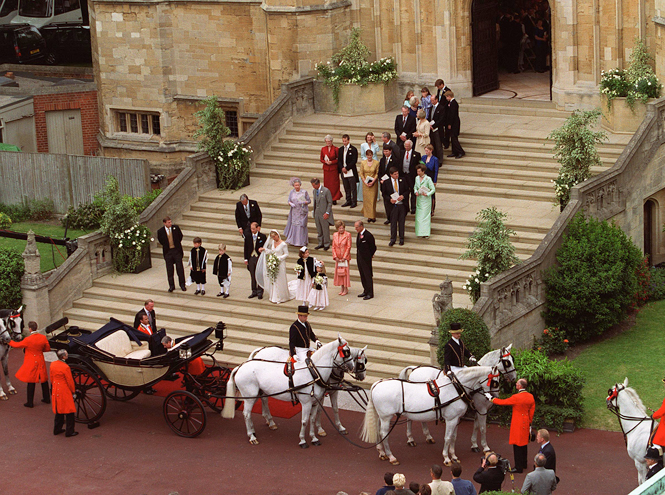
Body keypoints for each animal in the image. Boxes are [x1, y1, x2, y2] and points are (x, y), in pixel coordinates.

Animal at [222, 336, 356, 448]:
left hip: (259, 393)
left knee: (260, 404)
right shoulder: (306, 403)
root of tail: (241, 366)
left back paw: (264, 425)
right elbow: (304, 421)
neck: (313, 373)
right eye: (346, 351)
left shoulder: (315, 401)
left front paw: (314, 438)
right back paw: (252, 436)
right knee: (246, 414)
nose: (352, 367)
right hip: (249, 396)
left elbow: (313, 419)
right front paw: (302, 440)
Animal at [360, 364, 500, 464]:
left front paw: (454, 456)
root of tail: (376, 384)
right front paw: (446, 458)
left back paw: (382, 453)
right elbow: (447, 438)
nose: (494, 397)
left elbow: (453, 437)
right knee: (384, 434)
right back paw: (391, 456)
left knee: (378, 432)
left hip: (381, 417)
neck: (455, 387)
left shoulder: (456, 419)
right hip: (386, 418)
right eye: (495, 382)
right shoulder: (451, 419)